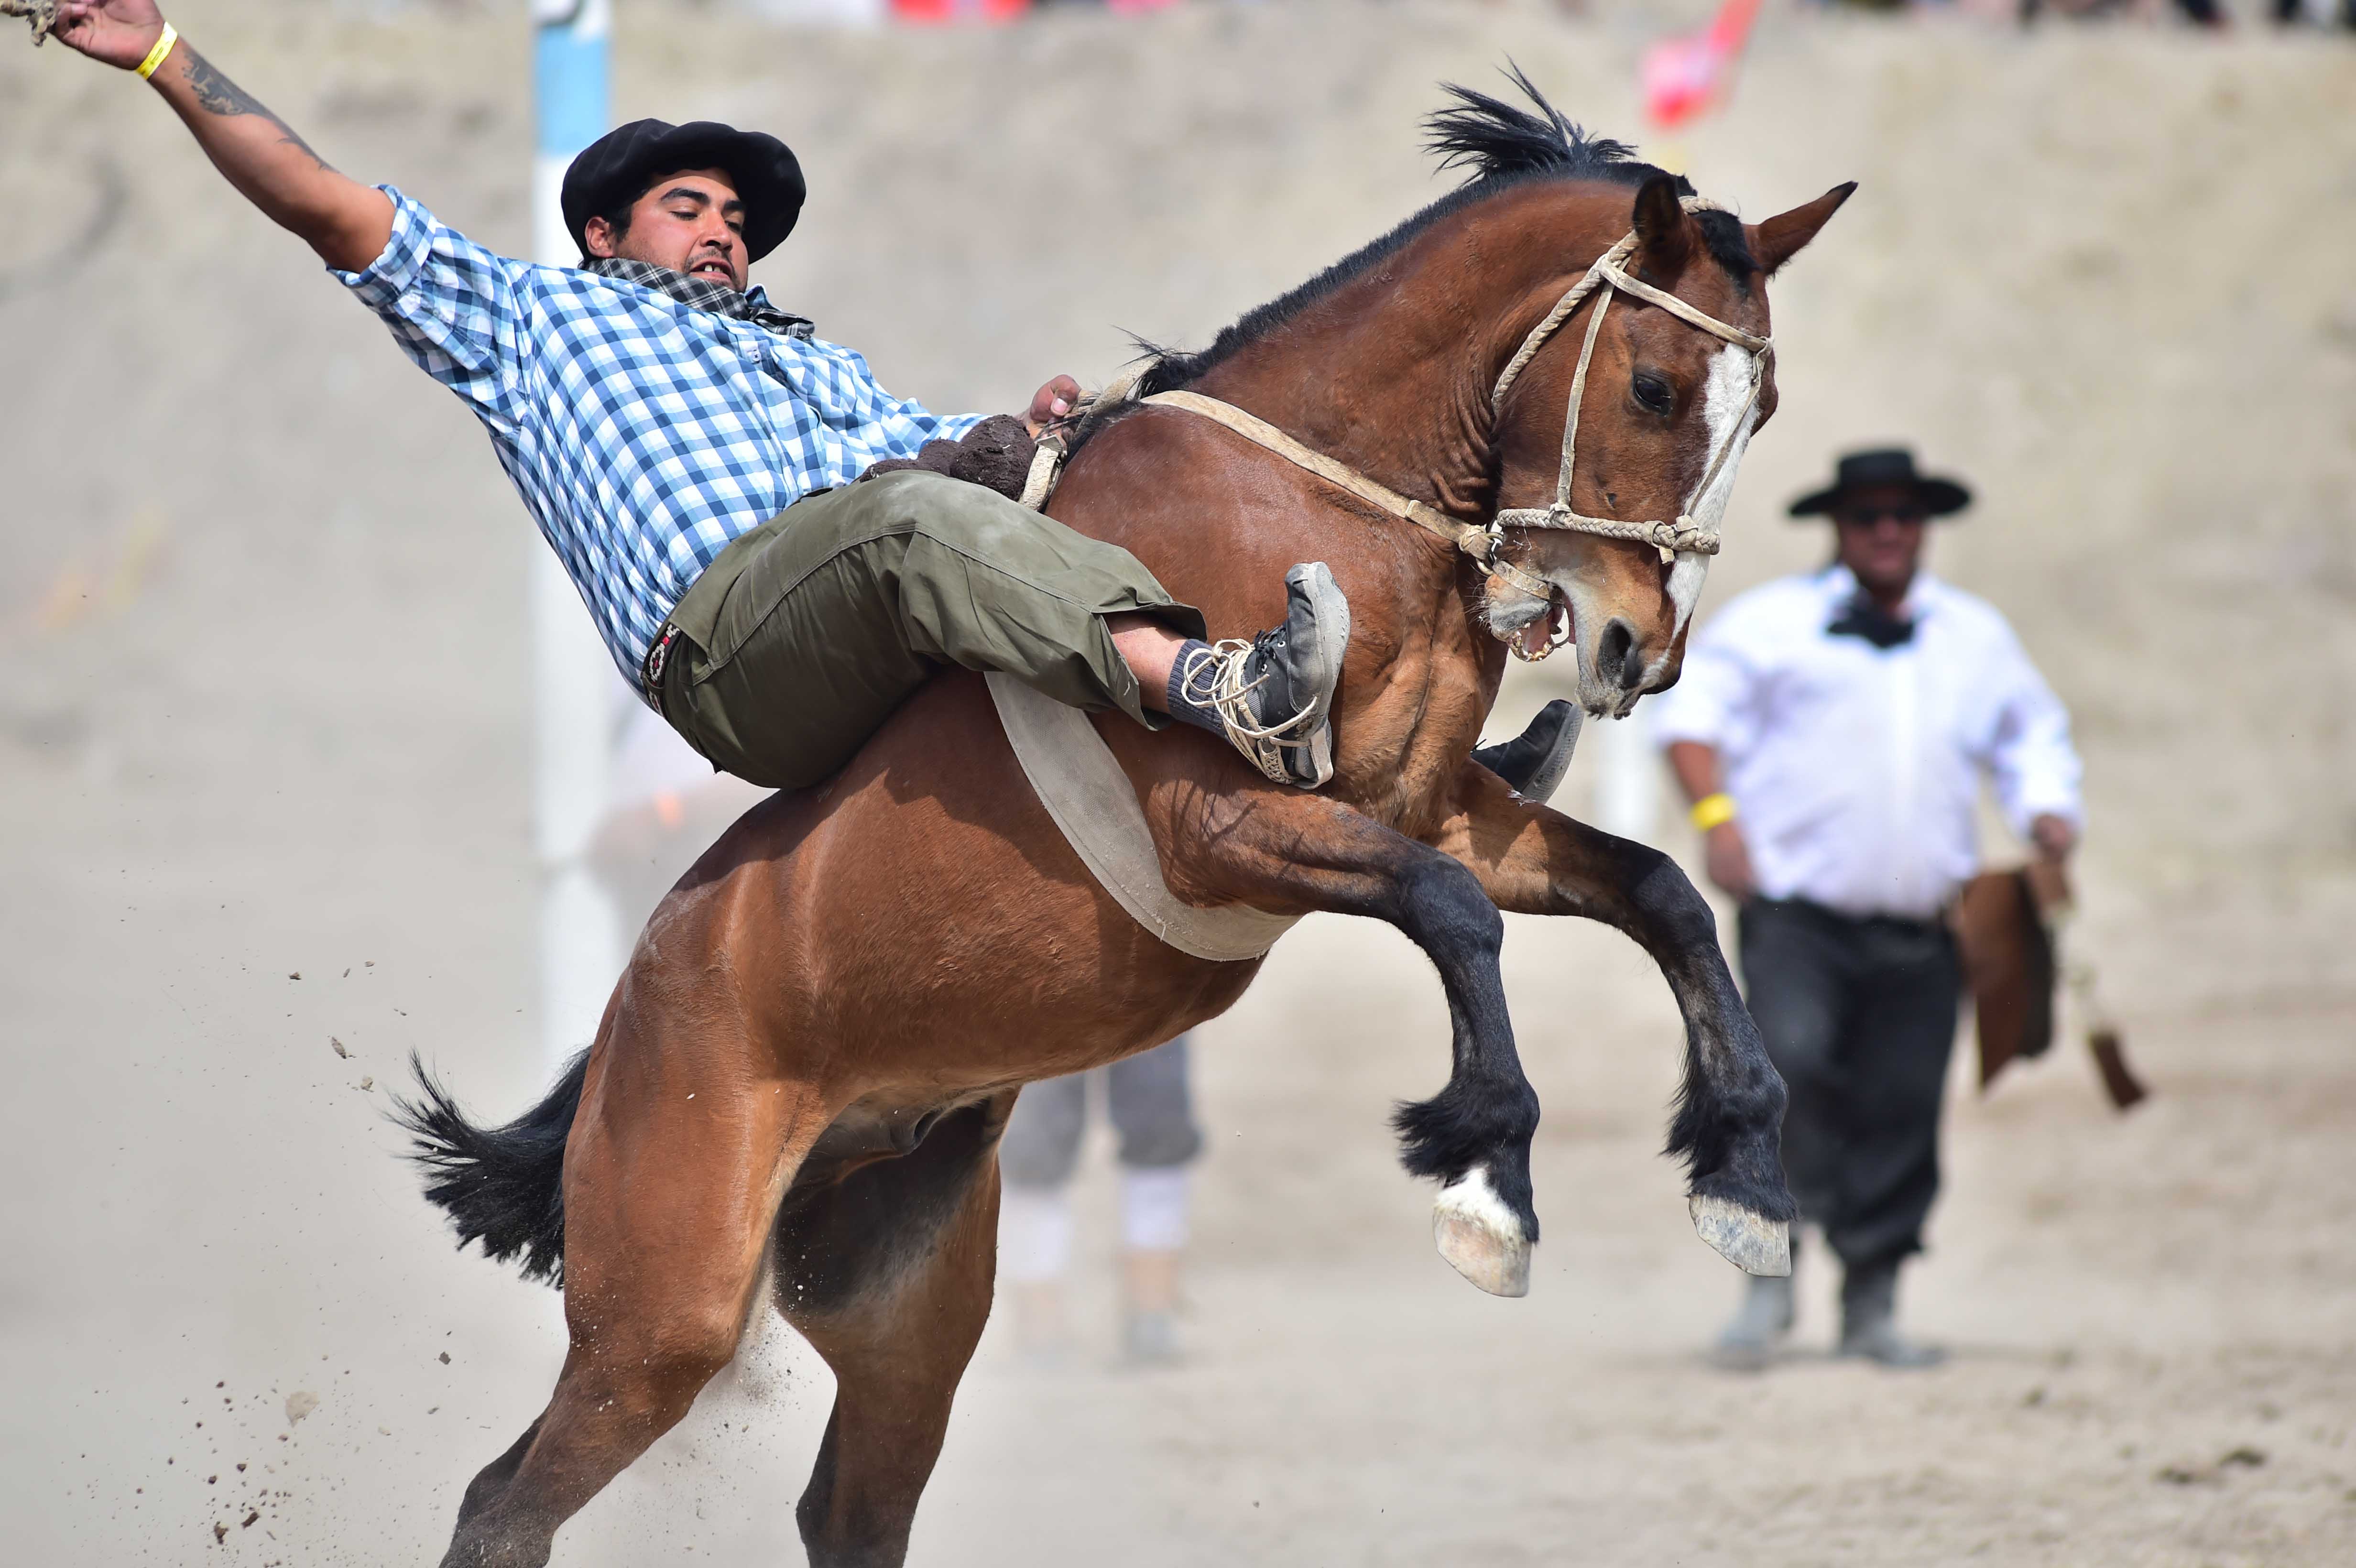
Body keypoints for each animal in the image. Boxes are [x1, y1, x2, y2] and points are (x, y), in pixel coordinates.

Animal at [405, 76, 1847, 1563]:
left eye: (1765, 406)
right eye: (1655, 386)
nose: (1637, 653)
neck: (1321, 499)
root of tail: (632, 1007)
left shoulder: (1443, 814)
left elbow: (1658, 891)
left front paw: (1746, 1173)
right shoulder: (1229, 828)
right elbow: (1456, 922)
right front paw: (1489, 1180)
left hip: (900, 1308)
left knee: (845, 1507)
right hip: (664, 1313)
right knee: (506, 1499)